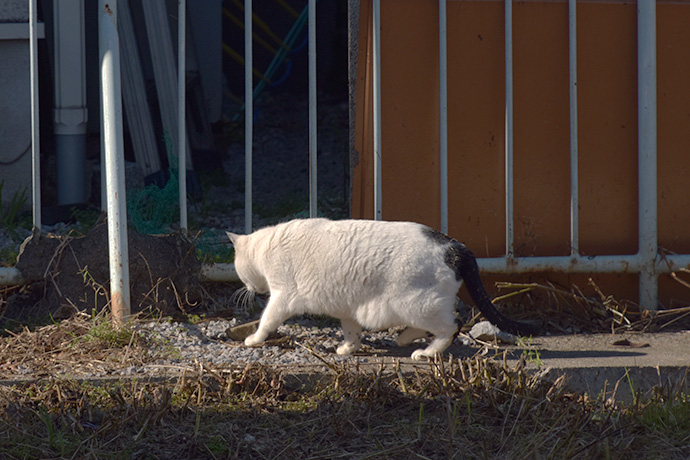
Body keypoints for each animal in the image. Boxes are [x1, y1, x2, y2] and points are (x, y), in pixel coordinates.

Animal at [226, 217, 532, 362]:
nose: (248, 287)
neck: (265, 247)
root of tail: (457, 247)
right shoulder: (347, 307)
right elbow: (351, 330)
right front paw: (348, 348)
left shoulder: (282, 297)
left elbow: (267, 320)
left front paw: (254, 339)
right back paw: (404, 338)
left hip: (415, 304)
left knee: (452, 325)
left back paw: (426, 352)